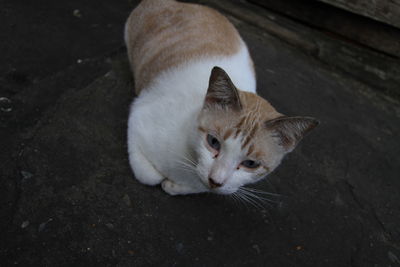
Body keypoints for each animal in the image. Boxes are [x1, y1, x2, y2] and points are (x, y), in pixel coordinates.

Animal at [123, 0, 318, 197]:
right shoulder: (138, 116)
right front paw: (163, 180)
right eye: (213, 142)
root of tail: (180, 2)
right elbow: (149, 176)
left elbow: (190, 187)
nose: (215, 181)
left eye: (251, 164)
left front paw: (175, 186)